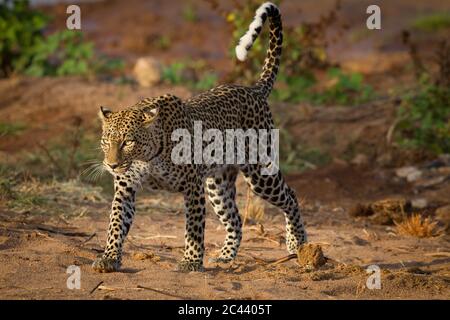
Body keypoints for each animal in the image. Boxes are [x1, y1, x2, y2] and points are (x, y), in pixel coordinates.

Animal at [92, 1, 308, 272]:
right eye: (106, 141)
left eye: (128, 142)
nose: (111, 165)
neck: (148, 158)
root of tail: (253, 90)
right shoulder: (125, 188)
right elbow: (115, 224)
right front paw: (109, 257)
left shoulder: (192, 186)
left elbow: (193, 227)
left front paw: (191, 261)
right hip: (218, 183)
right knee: (235, 219)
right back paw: (225, 255)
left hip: (260, 173)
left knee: (291, 196)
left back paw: (298, 243)